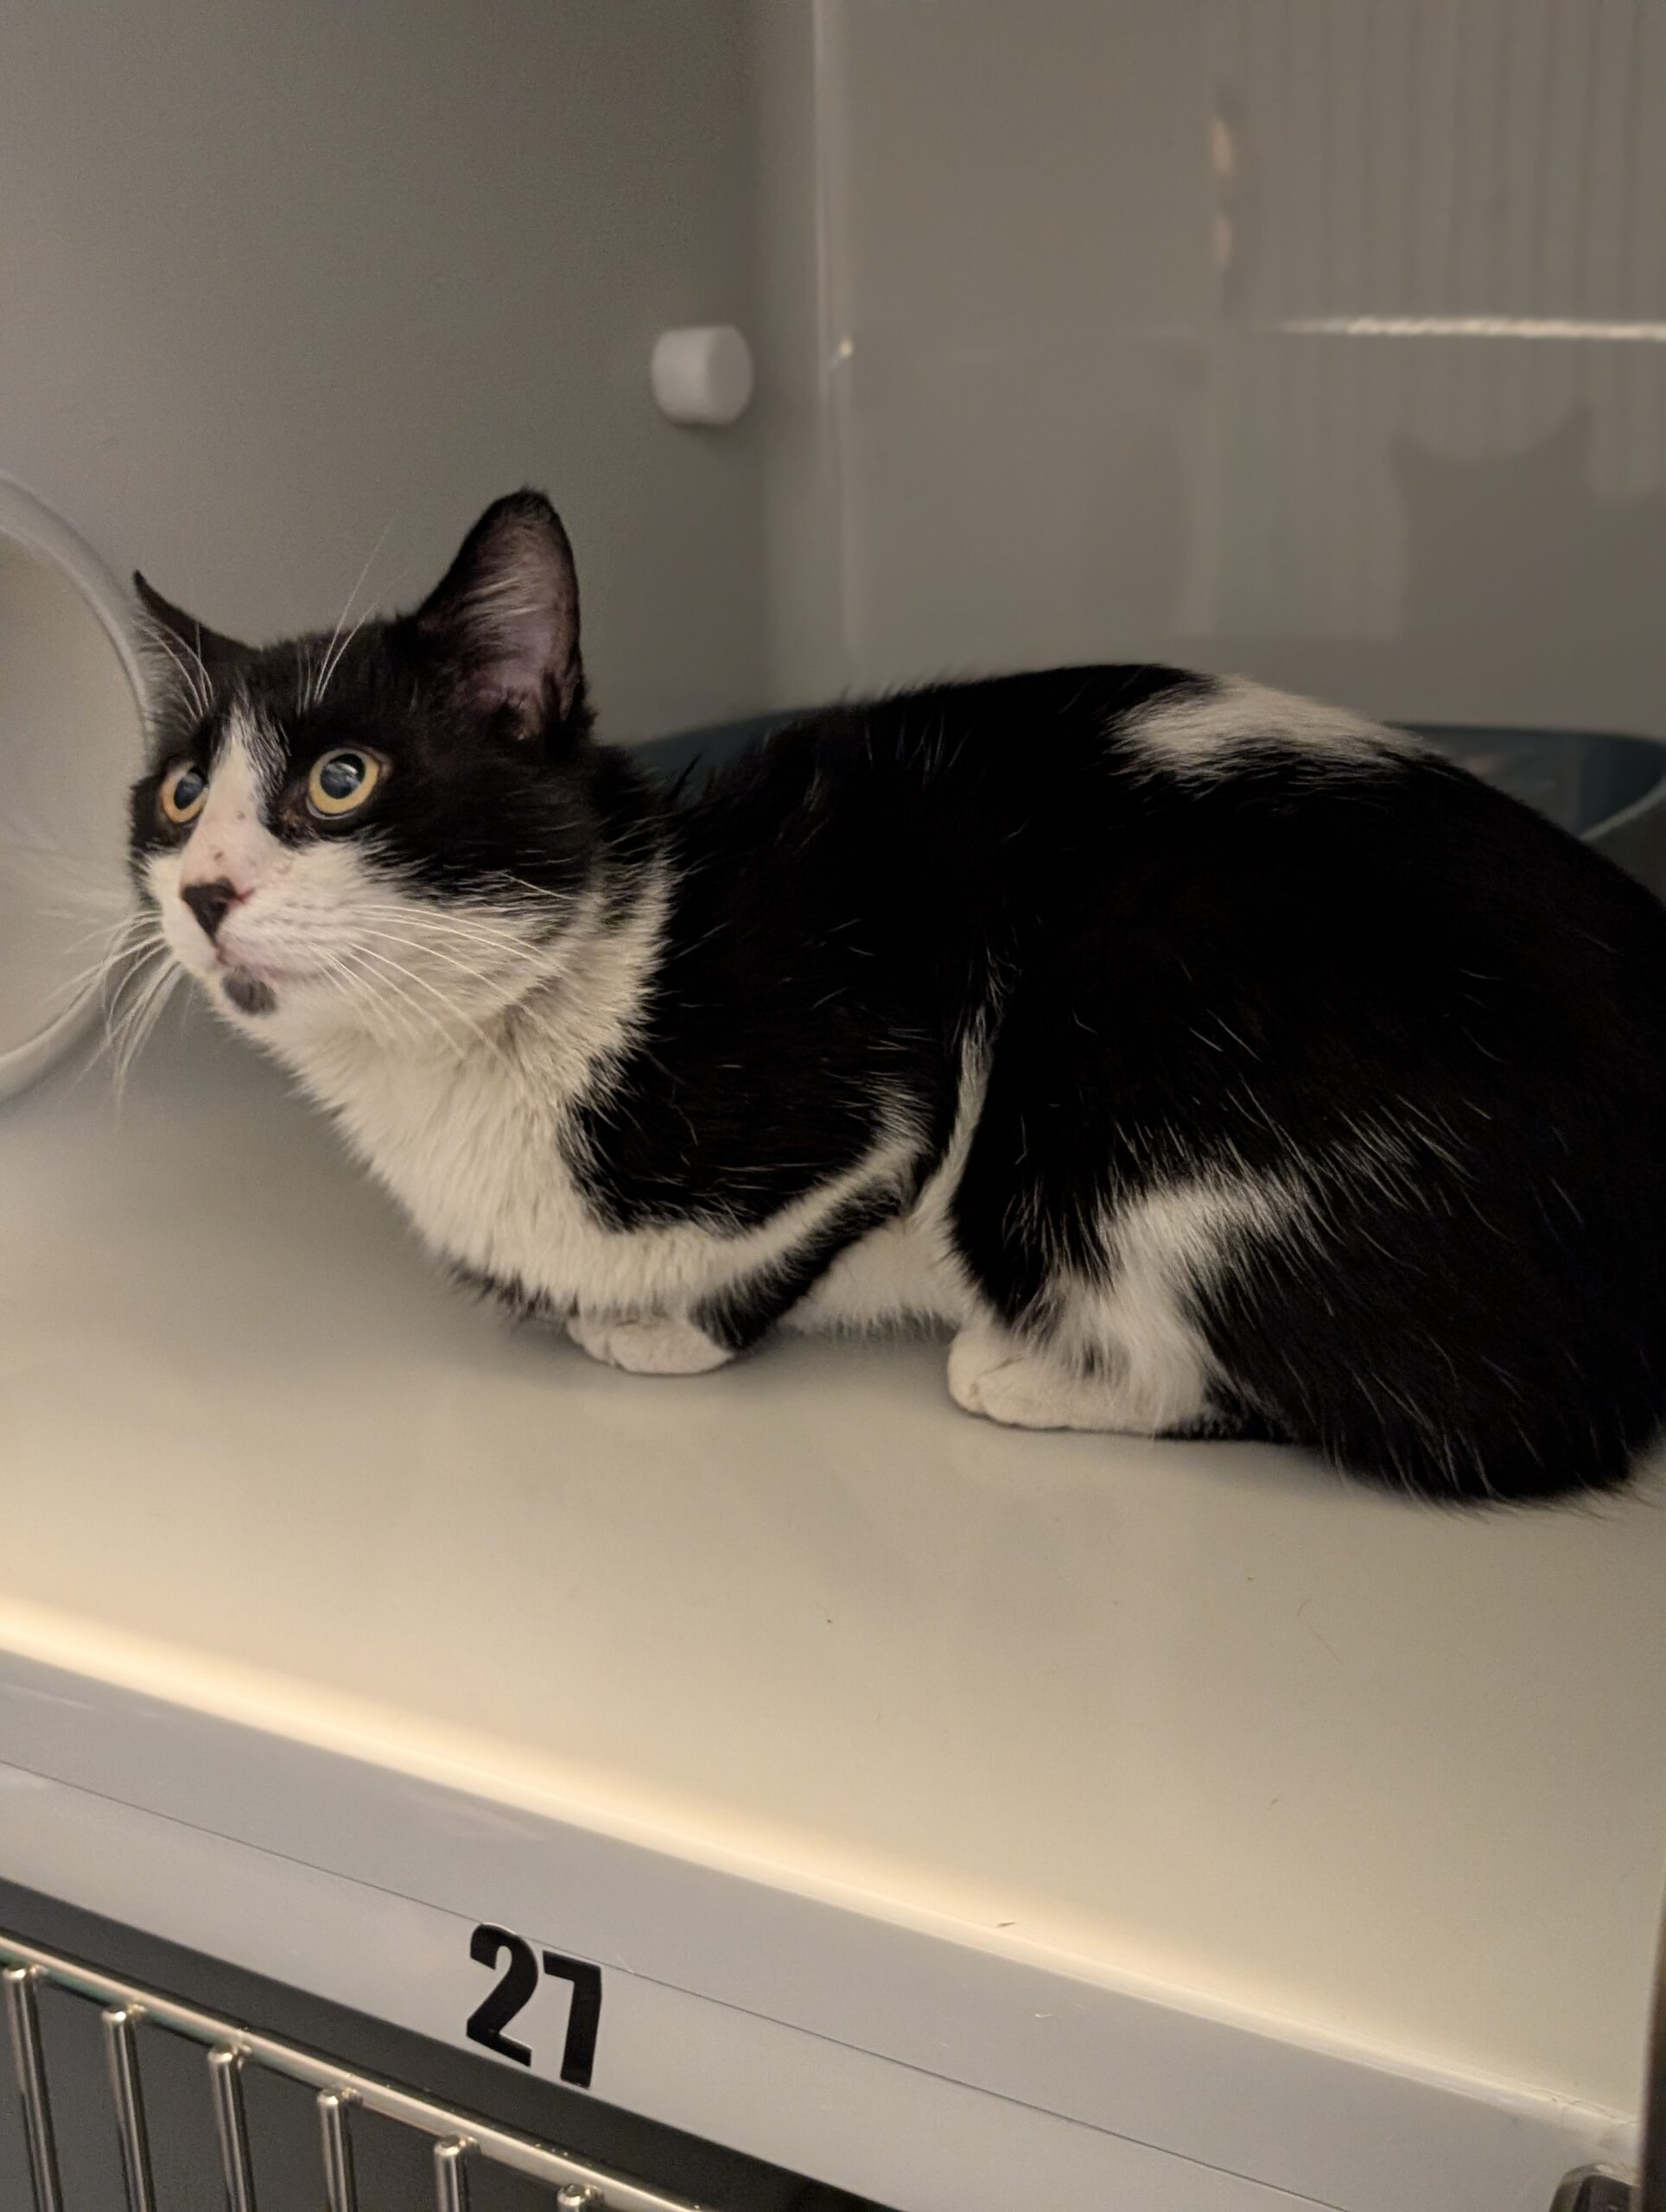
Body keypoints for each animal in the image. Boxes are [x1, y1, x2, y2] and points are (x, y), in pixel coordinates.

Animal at [126, 491, 1666, 1503]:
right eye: (182, 792)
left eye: (344, 779)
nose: (202, 887)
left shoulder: (879, 1081)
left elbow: (806, 1229)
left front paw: (665, 1332)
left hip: (1139, 1123)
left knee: (1485, 1421)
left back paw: (1035, 1371)